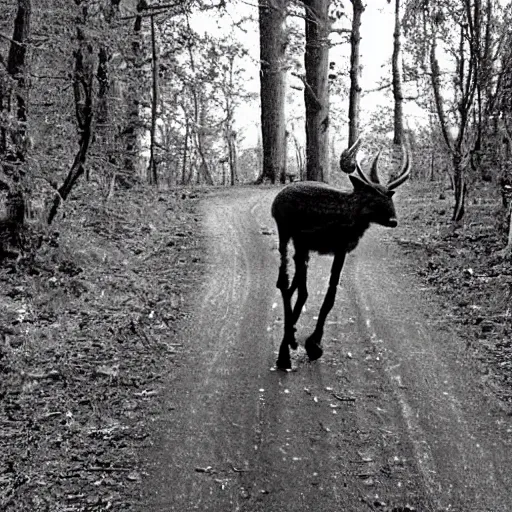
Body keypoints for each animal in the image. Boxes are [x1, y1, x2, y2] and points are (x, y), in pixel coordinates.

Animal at [272, 140, 412, 370]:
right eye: (372, 197)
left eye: (390, 196)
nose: (393, 220)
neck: (346, 218)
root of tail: (276, 199)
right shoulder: (305, 241)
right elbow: (307, 291)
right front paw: (308, 344)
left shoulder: (340, 249)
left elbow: (330, 295)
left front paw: (314, 343)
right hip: (285, 233)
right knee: (285, 284)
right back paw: (286, 350)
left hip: (299, 248)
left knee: (291, 286)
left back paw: (290, 338)